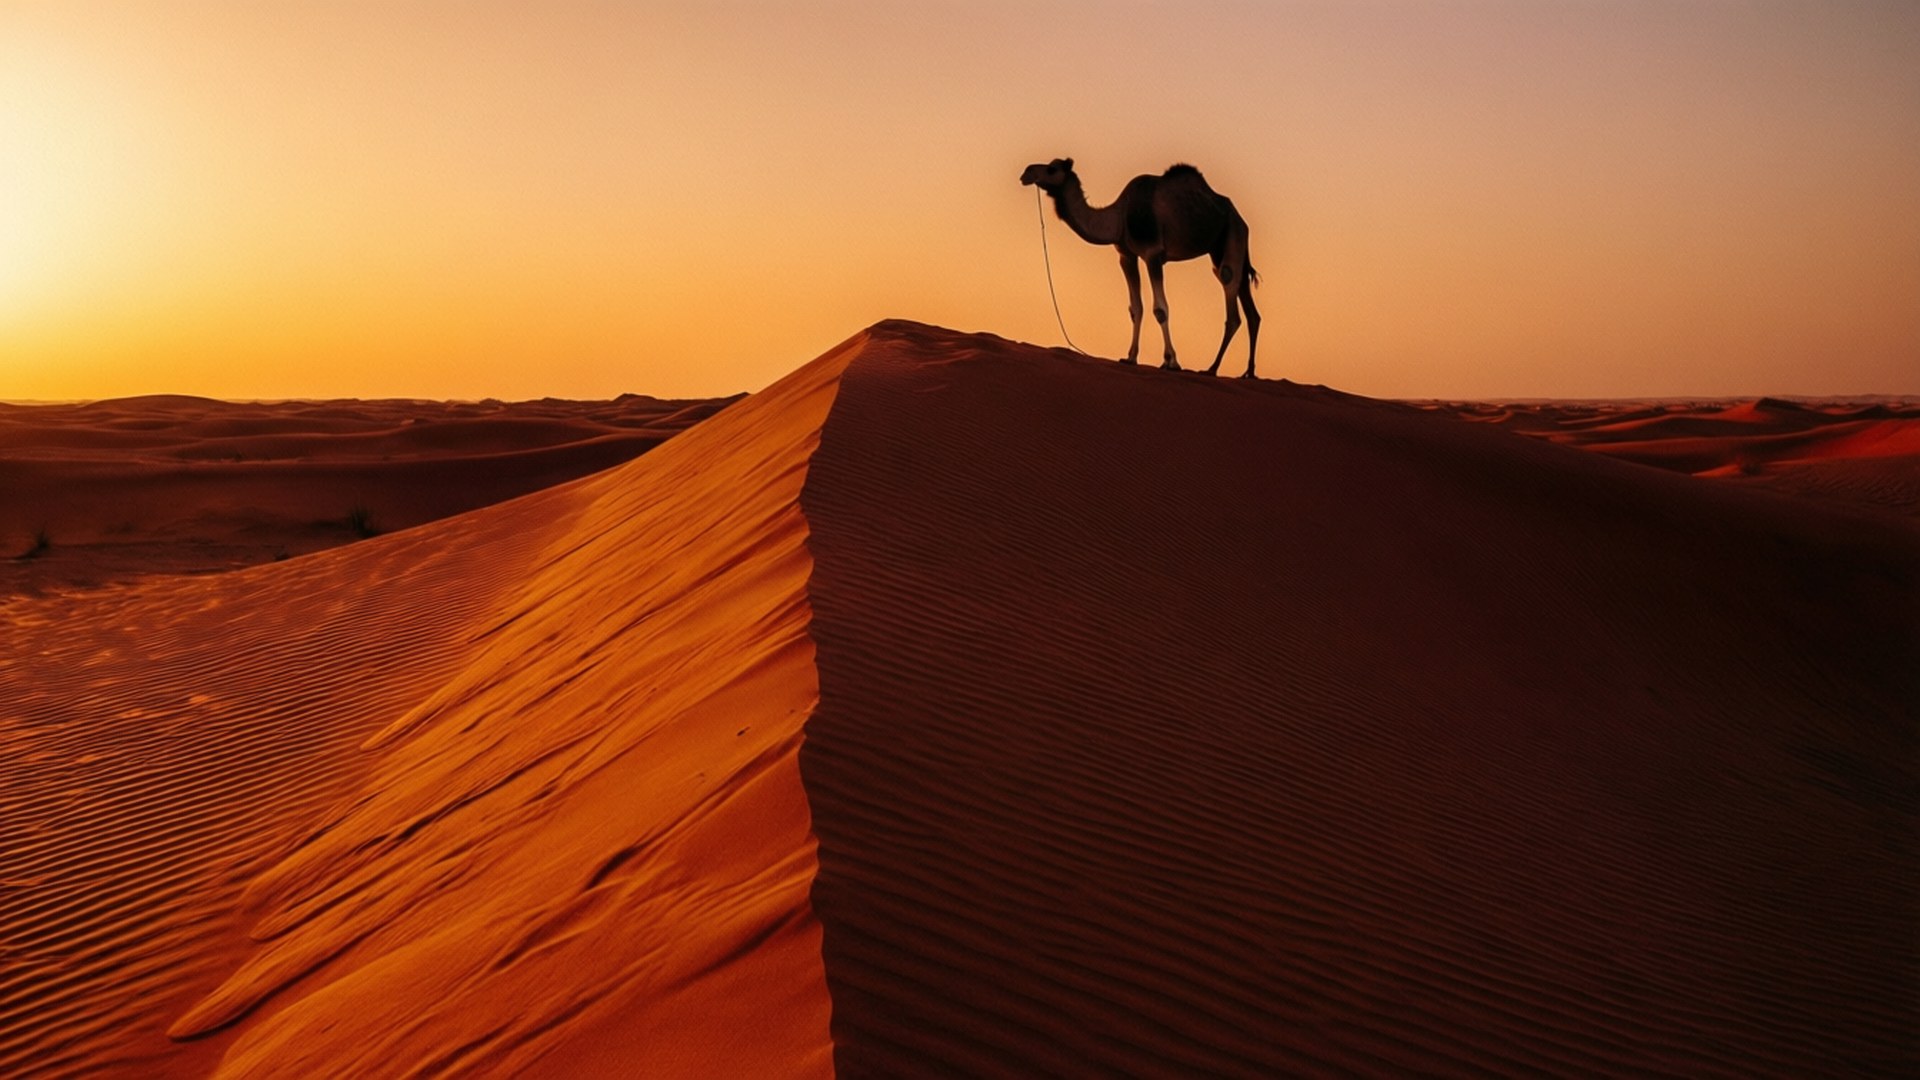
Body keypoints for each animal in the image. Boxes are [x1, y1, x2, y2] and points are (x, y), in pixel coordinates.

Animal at [1021, 157, 1261, 377]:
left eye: (1052, 169)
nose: (1026, 172)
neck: (1120, 216)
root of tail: (1241, 219)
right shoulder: (1126, 256)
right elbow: (1136, 308)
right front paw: (1130, 357)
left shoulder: (1152, 254)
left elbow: (1161, 310)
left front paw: (1172, 361)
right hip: (1221, 247)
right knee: (1249, 307)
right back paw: (1248, 372)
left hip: (1233, 233)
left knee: (1230, 289)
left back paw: (1211, 369)